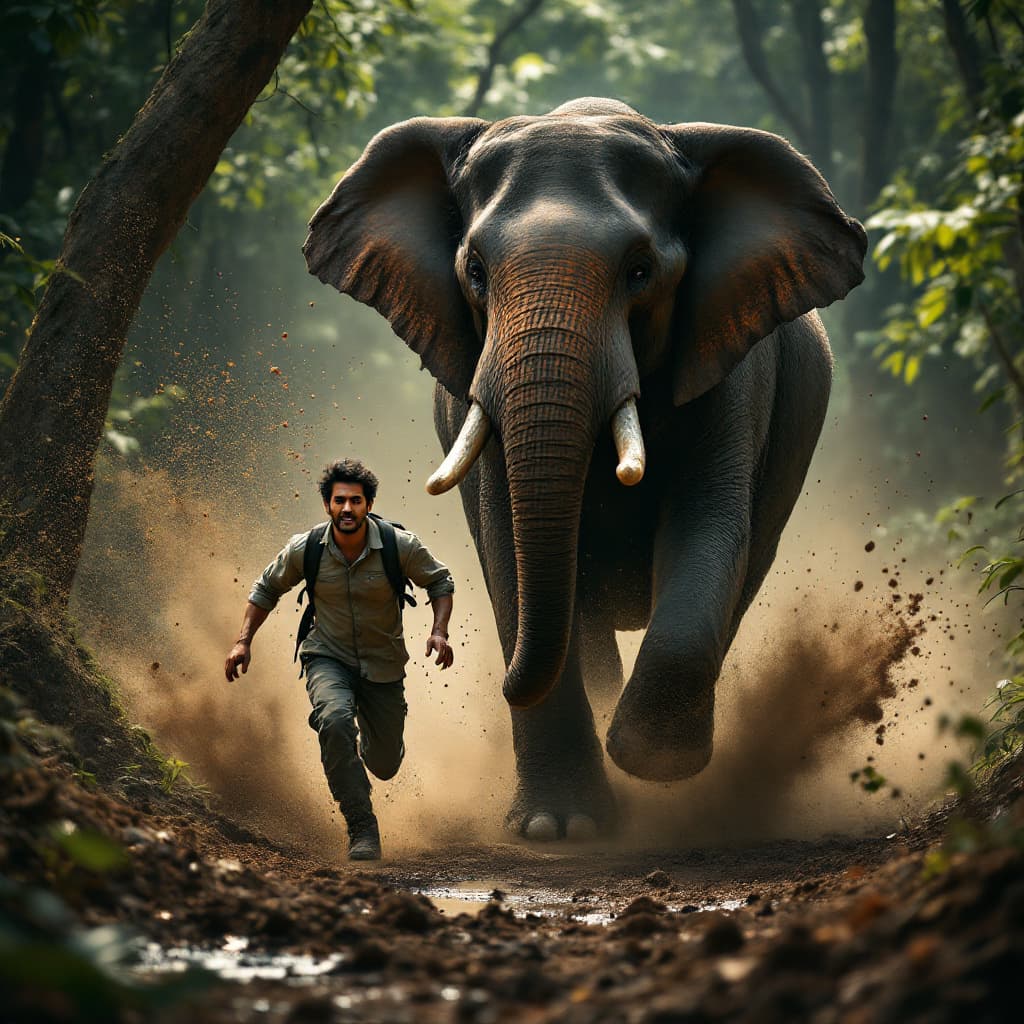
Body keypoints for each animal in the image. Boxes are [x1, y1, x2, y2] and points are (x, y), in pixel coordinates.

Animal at [303, 98, 866, 840]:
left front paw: (652, 761)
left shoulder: (735, 371)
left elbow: (709, 525)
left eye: (639, 271)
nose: (443, 659)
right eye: (475, 271)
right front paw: (557, 828)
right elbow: (509, 550)